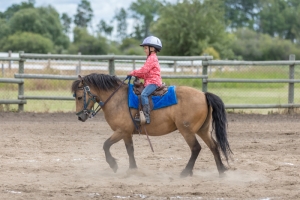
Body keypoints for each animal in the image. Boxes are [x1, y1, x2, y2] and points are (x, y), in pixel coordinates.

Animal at [71, 72, 232, 177]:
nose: (80, 117)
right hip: (203, 130)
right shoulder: (126, 133)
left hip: (187, 131)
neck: (118, 99)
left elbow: (105, 145)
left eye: (79, 97)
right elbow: (130, 150)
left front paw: (113, 165)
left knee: (196, 148)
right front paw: (132, 169)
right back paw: (221, 171)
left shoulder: (121, 131)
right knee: (214, 146)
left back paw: (186, 172)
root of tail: (204, 95)